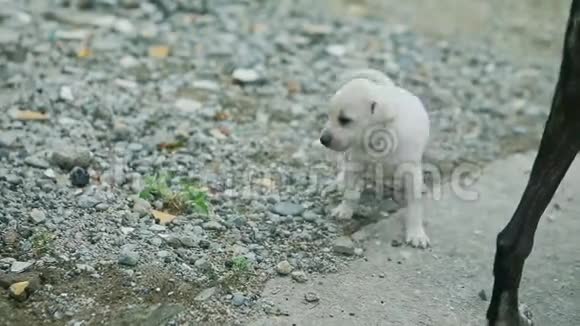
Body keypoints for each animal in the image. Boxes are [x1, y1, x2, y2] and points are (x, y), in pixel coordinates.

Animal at [320, 68, 432, 247]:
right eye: (328, 115)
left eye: (345, 120)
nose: (322, 140)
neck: (378, 138)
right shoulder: (355, 163)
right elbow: (350, 192)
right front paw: (344, 210)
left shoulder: (410, 170)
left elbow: (415, 205)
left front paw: (416, 233)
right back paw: (337, 183)